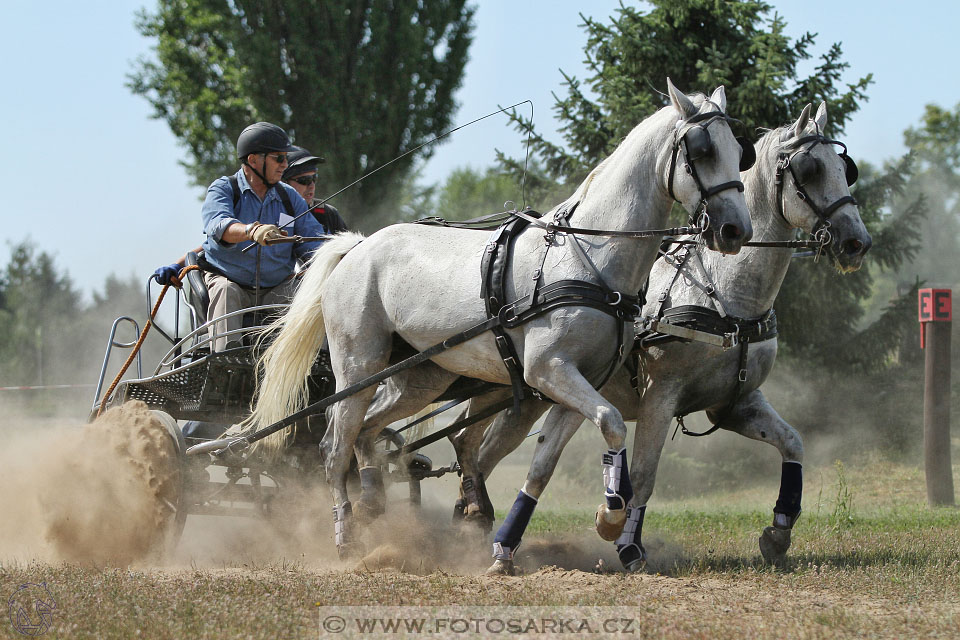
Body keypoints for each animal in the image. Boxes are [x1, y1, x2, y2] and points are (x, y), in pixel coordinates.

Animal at [249, 81, 756, 560]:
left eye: (740, 151)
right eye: (702, 151)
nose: (736, 230)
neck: (590, 257)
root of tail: (356, 246)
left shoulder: (580, 381)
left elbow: (549, 461)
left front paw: (528, 539)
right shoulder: (548, 370)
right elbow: (612, 421)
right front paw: (611, 516)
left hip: (421, 376)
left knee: (370, 429)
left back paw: (374, 501)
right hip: (358, 365)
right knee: (335, 444)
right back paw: (345, 532)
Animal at [450, 101, 872, 576]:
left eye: (844, 168)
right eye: (810, 170)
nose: (856, 242)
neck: (726, 296)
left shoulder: (736, 404)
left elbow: (793, 442)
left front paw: (779, 530)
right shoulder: (661, 396)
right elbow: (644, 475)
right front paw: (626, 542)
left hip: (528, 401)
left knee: (478, 453)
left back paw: (472, 526)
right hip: (502, 391)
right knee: (468, 447)